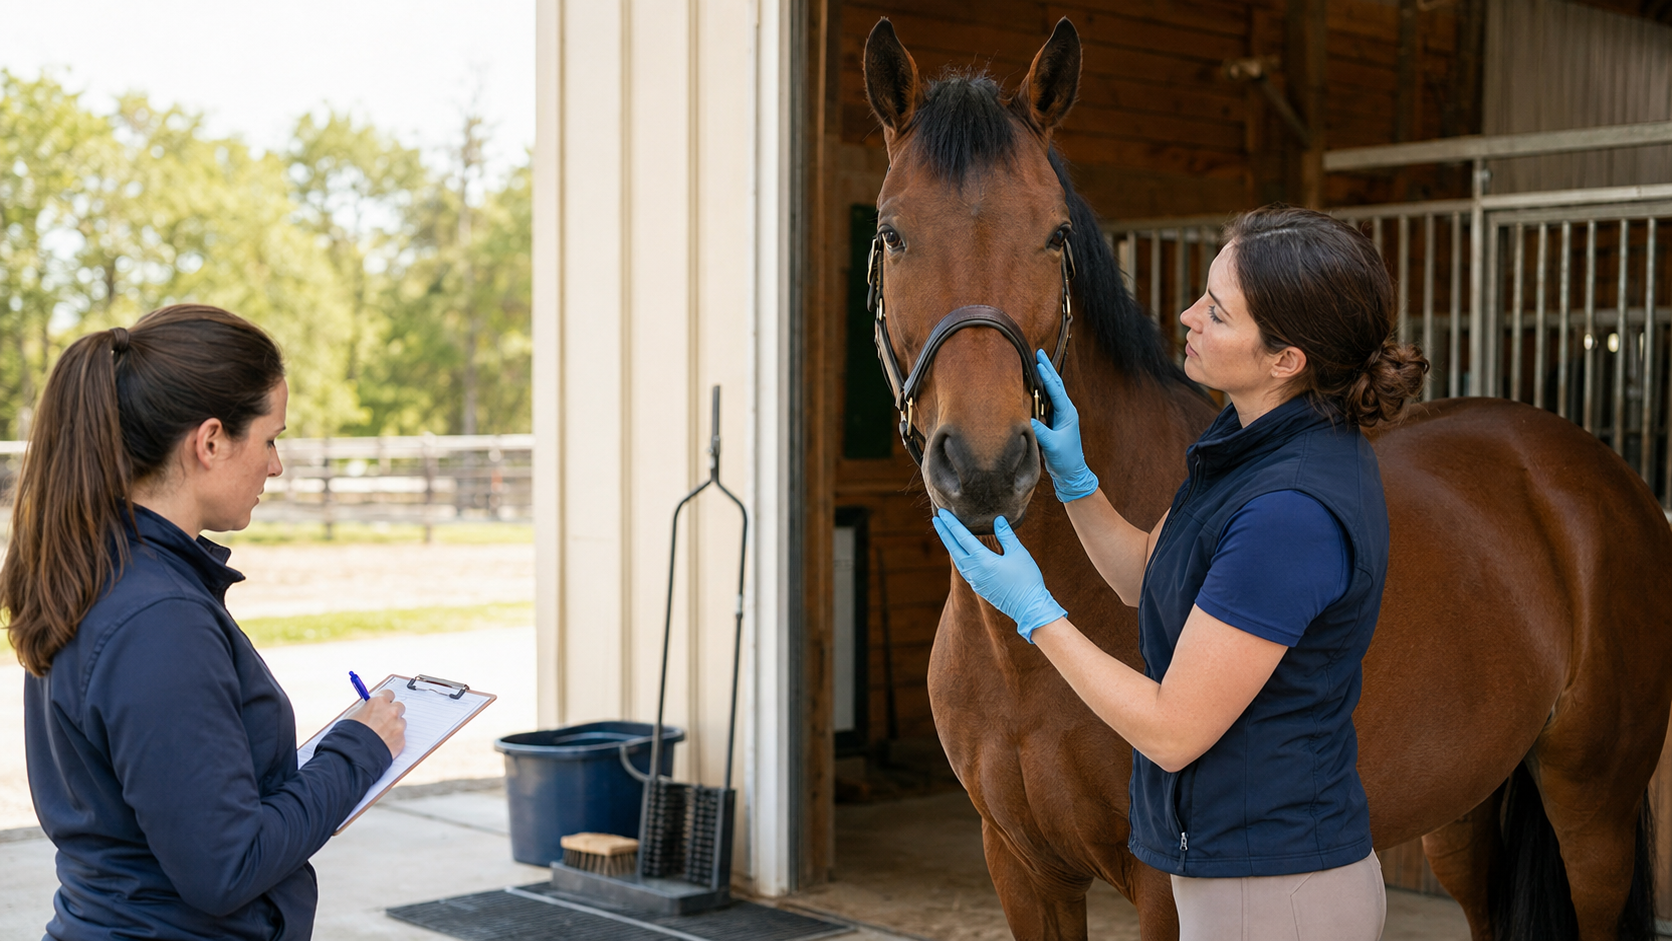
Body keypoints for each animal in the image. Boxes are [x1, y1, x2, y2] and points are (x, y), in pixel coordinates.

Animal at [861, 17, 1672, 941]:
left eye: (1056, 234)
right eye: (891, 233)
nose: (987, 466)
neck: (1028, 649)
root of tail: (1596, 475)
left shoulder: (1163, 887)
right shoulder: (1022, 868)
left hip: (1593, 813)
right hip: (1467, 809)